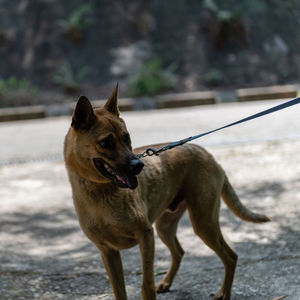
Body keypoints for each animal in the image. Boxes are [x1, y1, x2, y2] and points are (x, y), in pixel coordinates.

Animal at [63, 84, 270, 300]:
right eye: (105, 143)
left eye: (127, 138)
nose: (139, 166)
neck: (100, 192)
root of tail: (207, 153)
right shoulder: (108, 251)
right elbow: (119, 290)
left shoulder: (146, 236)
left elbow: (147, 285)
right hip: (165, 227)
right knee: (179, 252)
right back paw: (167, 282)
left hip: (203, 223)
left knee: (231, 256)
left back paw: (223, 293)